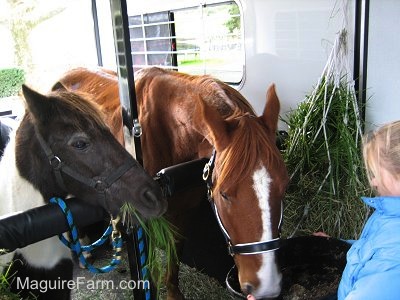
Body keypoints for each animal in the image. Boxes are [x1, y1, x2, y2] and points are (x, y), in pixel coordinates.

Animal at [54, 67, 290, 298]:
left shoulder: (183, 211)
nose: (266, 286)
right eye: (224, 194)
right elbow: (147, 266)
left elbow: (175, 252)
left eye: (284, 187)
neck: (171, 133)